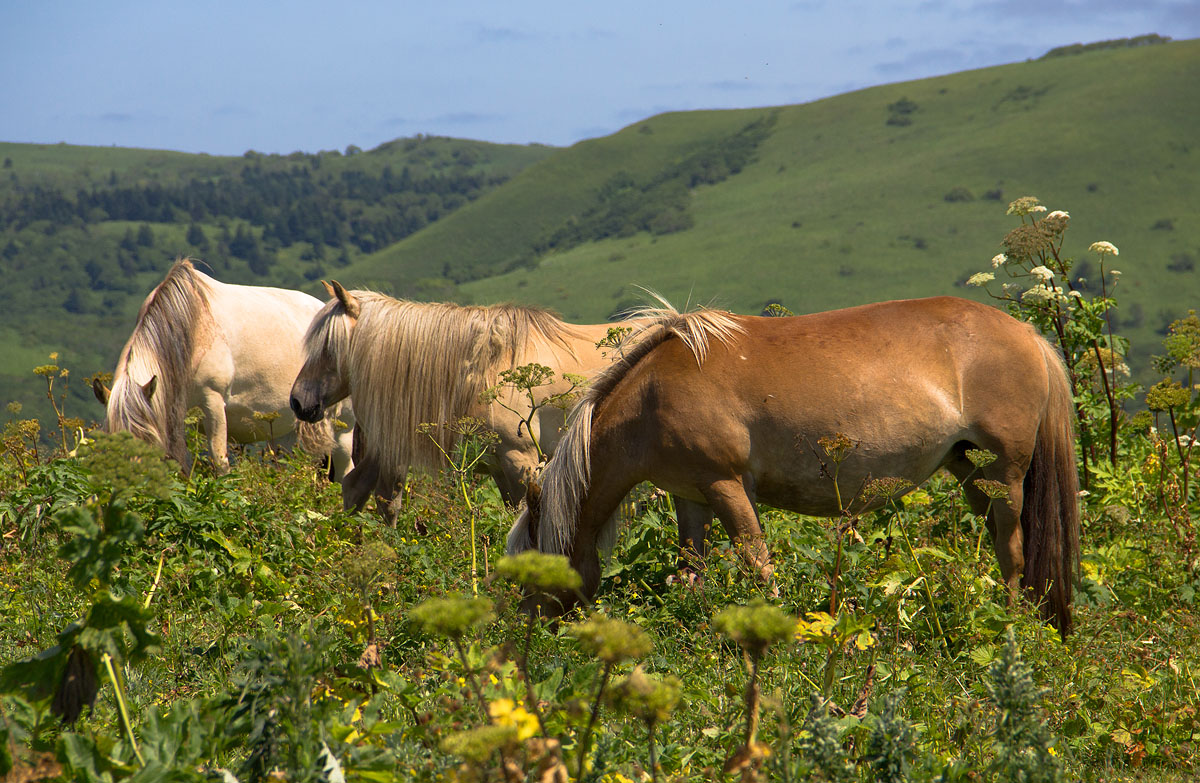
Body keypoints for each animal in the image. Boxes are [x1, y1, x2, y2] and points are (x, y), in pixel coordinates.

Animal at [91, 258, 352, 477]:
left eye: (148, 444)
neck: (191, 328)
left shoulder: (213, 402)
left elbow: (220, 462)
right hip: (285, 430)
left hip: (341, 428)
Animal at [506, 295, 1080, 634]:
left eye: (533, 571)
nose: (526, 630)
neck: (651, 397)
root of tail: (1029, 335)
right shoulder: (691, 498)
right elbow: (691, 573)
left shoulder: (727, 486)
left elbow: (757, 566)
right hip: (970, 472)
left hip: (1004, 473)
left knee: (1012, 549)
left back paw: (1012, 626)